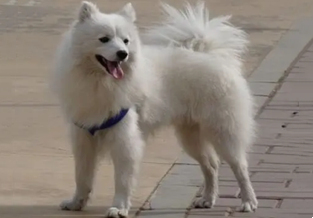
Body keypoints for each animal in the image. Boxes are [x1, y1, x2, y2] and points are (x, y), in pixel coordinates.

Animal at [51, 0, 256, 217]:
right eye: (104, 39)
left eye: (125, 41)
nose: (123, 54)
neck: (100, 82)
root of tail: (211, 56)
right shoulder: (84, 138)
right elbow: (82, 176)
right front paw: (76, 202)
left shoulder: (124, 140)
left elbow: (122, 180)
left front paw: (119, 208)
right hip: (190, 137)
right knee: (211, 165)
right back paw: (208, 199)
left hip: (223, 132)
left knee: (240, 167)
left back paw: (248, 202)